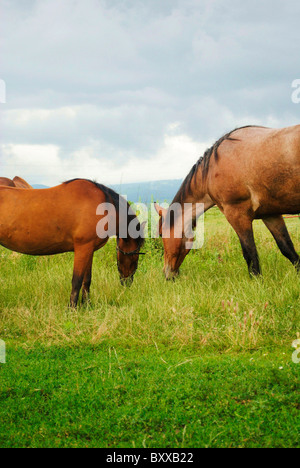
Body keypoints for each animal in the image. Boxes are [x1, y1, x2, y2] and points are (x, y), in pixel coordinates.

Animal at [0, 179, 146, 308]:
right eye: (135, 256)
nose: (127, 283)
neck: (104, 206)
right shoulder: (83, 248)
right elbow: (77, 280)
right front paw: (72, 308)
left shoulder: (89, 250)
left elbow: (87, 280)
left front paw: (87, 305)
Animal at [155, 123, 300, 278]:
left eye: (161, 234)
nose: (166, 272)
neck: (210, 171)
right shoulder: (271, 215)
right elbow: (288, 249)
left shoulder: (237, 216)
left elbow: (250, 255)